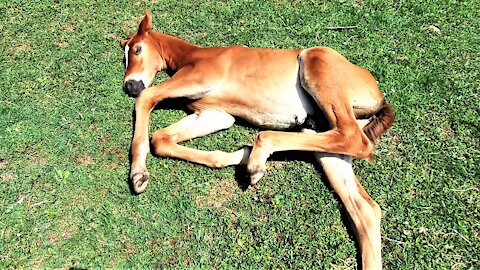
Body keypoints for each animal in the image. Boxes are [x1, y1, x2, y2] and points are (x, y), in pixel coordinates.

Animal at [120, 11, 394, 270]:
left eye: (137, 49)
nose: (130, 86)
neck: (193, 56)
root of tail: (379, 98)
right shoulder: (215, 115)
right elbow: (161, 139)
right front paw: (238, 155)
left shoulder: (201, 78)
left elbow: (147, 98)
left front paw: (137, 174)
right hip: (324, 139)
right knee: (365, 206)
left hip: (317, 61)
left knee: (354, 138)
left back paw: (257, 160)